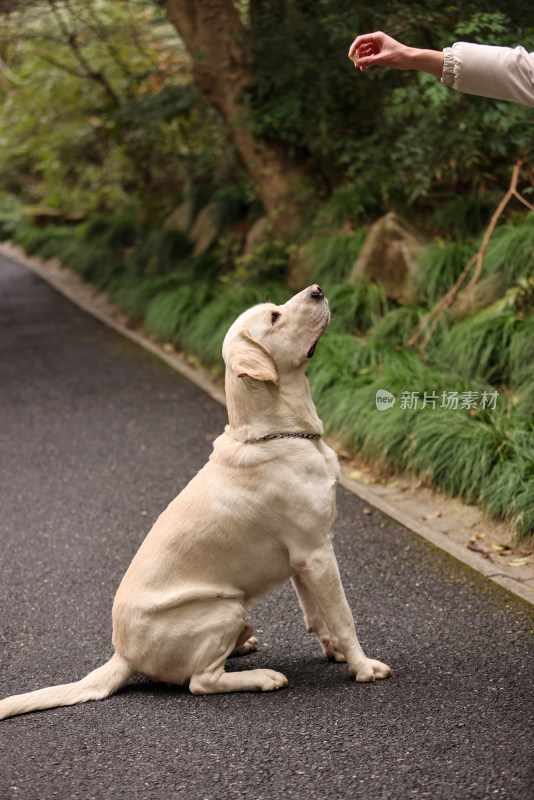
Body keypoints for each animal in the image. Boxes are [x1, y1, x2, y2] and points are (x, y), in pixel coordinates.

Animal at [1, 282, 394, 720]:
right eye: (274, 316)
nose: (317, 289)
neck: (273, 433)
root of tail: (123, 655)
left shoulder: (303, 561)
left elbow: (317, 614)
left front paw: (336, 653)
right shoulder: (318, 553)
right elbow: (343, 616)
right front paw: (363, 666)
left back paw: (245, 643)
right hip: (225, 607)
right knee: (201, 682)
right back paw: (262, 676)